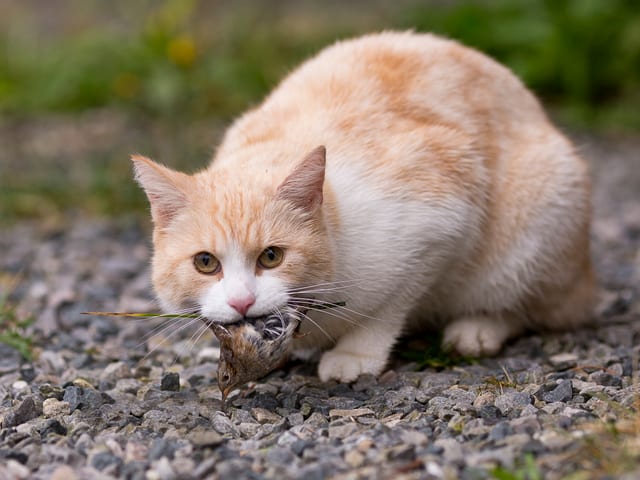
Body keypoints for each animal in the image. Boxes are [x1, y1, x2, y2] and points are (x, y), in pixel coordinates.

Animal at [134, 31, 596, 382]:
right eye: (206, 263)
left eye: (271, 257)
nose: (242, 303)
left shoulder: (441, 221)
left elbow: (386, 310)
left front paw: (355, 356)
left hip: (541, 212)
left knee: (536, 307)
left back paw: (476, 330)